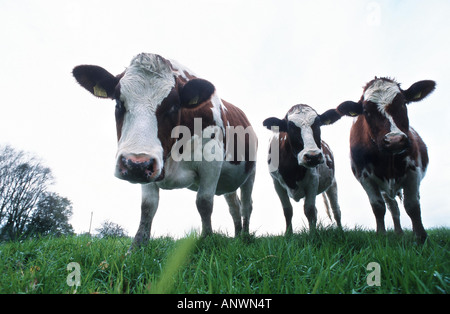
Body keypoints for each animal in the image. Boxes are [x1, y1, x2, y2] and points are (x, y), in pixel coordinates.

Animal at [264, 104, 342, 234]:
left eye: (318, 124)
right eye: (290, 127)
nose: (313, 156)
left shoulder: (313, 181)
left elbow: (309, 210)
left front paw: (313, 235)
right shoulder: (276, 183)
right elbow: (287, 210)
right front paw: (288, 234)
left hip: (333, 183)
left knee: (336, 210)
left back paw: (341, 231)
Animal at [338, 76, 436, 243]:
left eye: (403, 102)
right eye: (366, 111)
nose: (395, 140)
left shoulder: (413, 171)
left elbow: (412, 206)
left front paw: (420, 237)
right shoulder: (364, 177)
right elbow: (378, 207)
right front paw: (381, 235)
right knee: (393, 207)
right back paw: (398, 233)